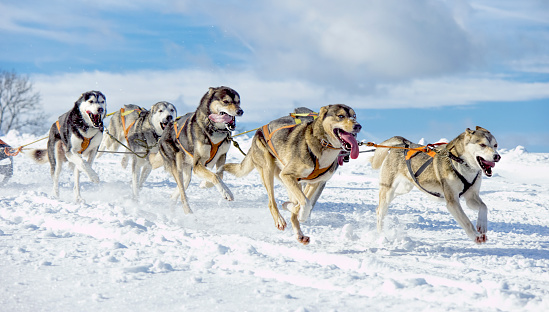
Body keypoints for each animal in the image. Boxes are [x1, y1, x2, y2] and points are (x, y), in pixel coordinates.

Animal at [158, 86, 244, 214]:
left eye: (238, 102)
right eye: (226, 101)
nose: (240, 111)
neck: (215, 129)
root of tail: (166, 129)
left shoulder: (222, 155)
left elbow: (219, 174)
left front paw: (206, 183)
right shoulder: (198, 164)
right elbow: (215, 176)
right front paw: (226, 192)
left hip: (187, 174)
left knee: (178, 191)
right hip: (178, 167)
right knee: (183, 194)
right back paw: (188, 212)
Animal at [220, 103, 362, 245]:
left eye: (354, 116)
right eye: (341, 116)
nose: (358, 126)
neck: (322, 144)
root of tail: (260, 129)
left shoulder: (314, 183)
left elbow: (306, 203)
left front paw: (295, 210)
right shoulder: (287, 175)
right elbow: (306, 203)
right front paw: (298, 212)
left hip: (292, 182)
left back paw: (299, 232)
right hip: (269, 170)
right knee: (271, 202)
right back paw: (280, 219)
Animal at [370, 127, 498, 244]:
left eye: (495, 145)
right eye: (482, 145)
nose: (497, 156)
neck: (461, 163)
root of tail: (403, 143)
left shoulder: (471, 197)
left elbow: (484, 206)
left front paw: (482, 225)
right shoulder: (452, 201)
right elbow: (466, 221)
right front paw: (476, 236)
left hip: (403, 188)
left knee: (381, 206)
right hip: (388, 190)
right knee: (380, 211)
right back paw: (381, 234)